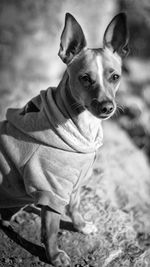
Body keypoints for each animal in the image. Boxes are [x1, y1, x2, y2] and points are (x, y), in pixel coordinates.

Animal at [0, 12, 129, 267]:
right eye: (85, 78)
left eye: (115, 77)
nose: (107, 107)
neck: (83, 128)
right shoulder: (51, 189)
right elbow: (50, 230)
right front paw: (55, 256)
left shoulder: (75, 184)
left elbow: (75, 208)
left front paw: (81, 226)